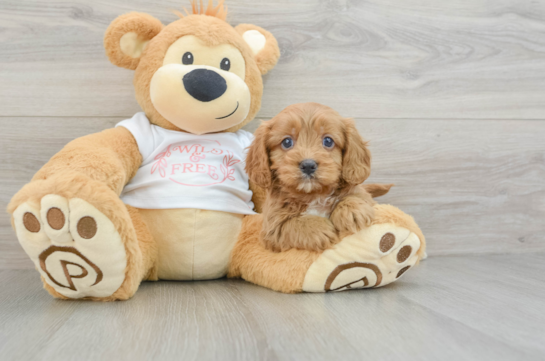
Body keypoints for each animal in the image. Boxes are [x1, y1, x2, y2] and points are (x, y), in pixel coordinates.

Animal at [244, 102, 388, 252]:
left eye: (328, 141)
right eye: (287, 142)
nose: (308, 165)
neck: (313, 195)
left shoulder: (363, 195)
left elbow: (357, 196)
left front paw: (352, 211)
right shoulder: (271, 229)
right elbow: (290, 225)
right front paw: (319, 228)